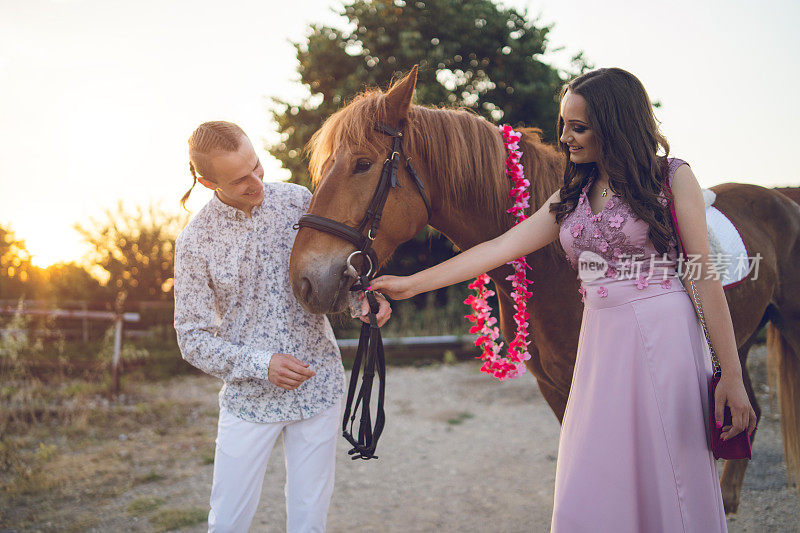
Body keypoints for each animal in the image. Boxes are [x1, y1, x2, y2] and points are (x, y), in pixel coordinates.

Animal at [288, 65, 800, 512]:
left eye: (362, 164)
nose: (303, 279)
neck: (551, 268)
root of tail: (779, 197)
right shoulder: (554, 387)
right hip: (736, 338)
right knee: (745, 406)